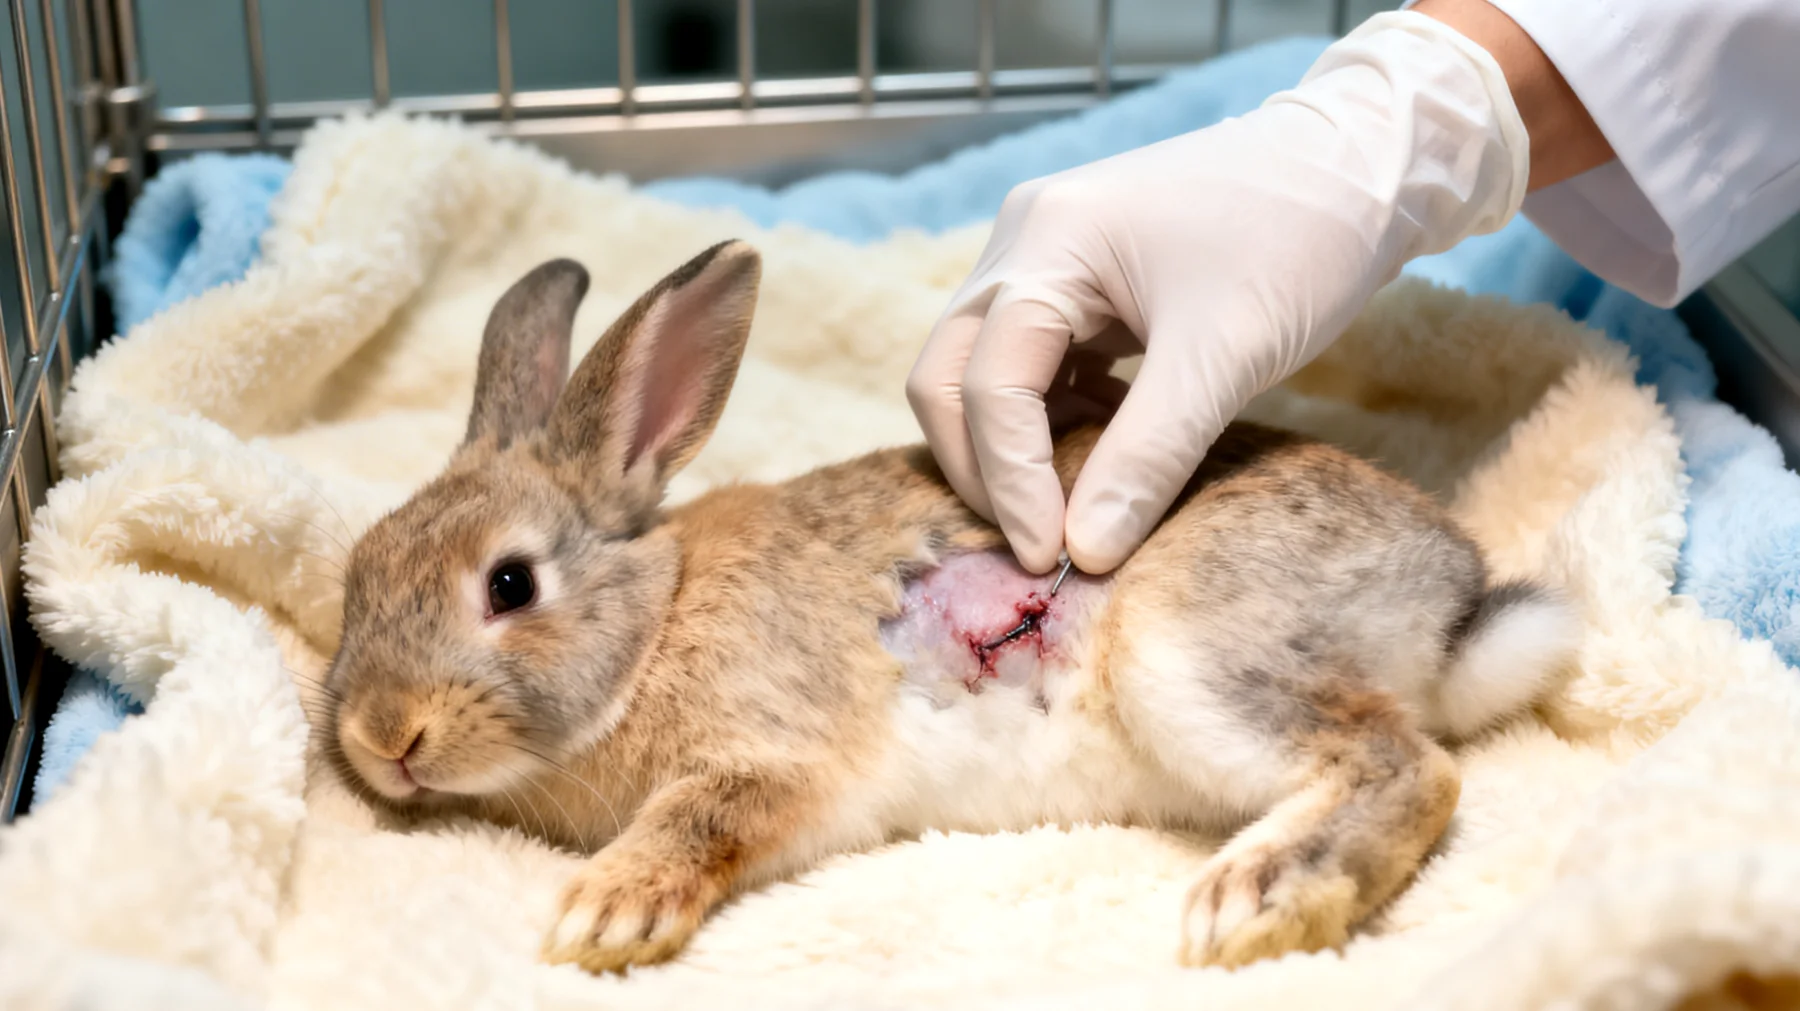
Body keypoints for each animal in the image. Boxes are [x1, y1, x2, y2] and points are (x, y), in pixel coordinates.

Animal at [322, 240, 1579, 975]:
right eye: (359, 575)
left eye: (510, 584)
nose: (382, 740)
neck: (653, 622)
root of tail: (1456, 603)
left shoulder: (775, 752)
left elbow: (702, 818)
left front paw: (603, 916)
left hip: (1182, 651)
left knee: (1410, 766)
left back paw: (1257, 903)